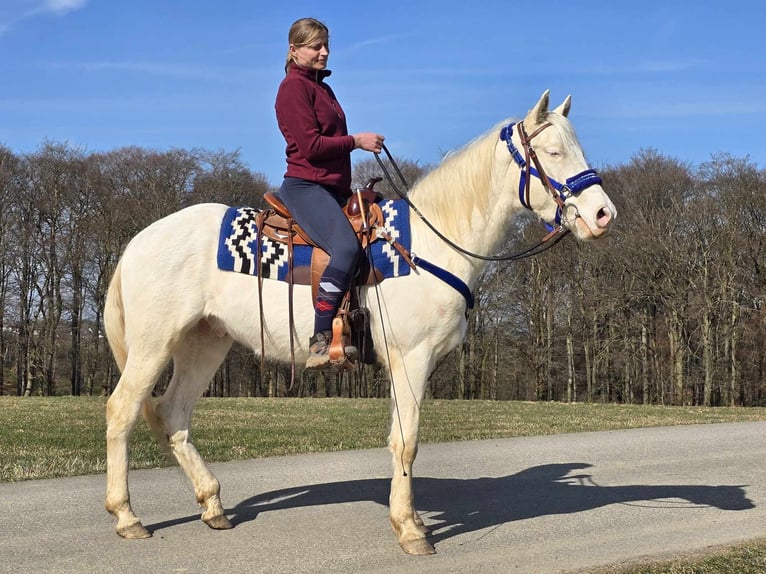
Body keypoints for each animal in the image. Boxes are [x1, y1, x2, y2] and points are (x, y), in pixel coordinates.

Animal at [103, 92, 616, 556]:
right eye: (553, 153)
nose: (603, 215)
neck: (428, 244)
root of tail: (139, 241)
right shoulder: (412, 360)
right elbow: (407, 443)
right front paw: (411, 531)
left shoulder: (404, 366)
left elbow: (398, 441)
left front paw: (408, 519)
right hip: (154, 344)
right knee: (122, 410)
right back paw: (127, 516)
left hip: (205, 343)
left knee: (173, 415)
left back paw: (212, 505)